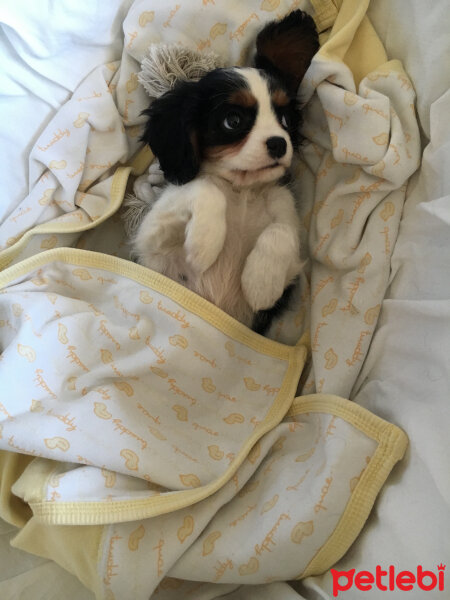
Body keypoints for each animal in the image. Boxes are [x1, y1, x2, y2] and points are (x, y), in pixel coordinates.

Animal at [134, 9, 320, 330]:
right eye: (232, 121)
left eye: (284, 119)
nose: (279, 144)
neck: (241, 189)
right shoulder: (151, 243)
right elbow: (204, 187)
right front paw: (203, 243)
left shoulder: (287, 240)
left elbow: (282, 230)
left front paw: (261, 281)